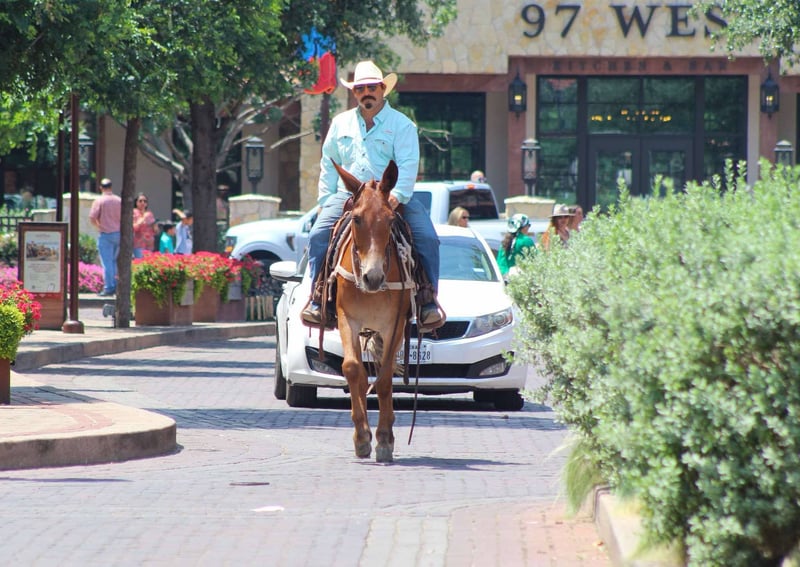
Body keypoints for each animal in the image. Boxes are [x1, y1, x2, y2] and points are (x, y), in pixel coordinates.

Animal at [328, 159, 415, 463]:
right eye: (356, 218)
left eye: (390, 220)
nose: (373, 278)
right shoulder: (347, 319)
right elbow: (353, 369)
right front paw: (362, 436)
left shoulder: (394, 325)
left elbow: (386, 377)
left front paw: (384, 439)